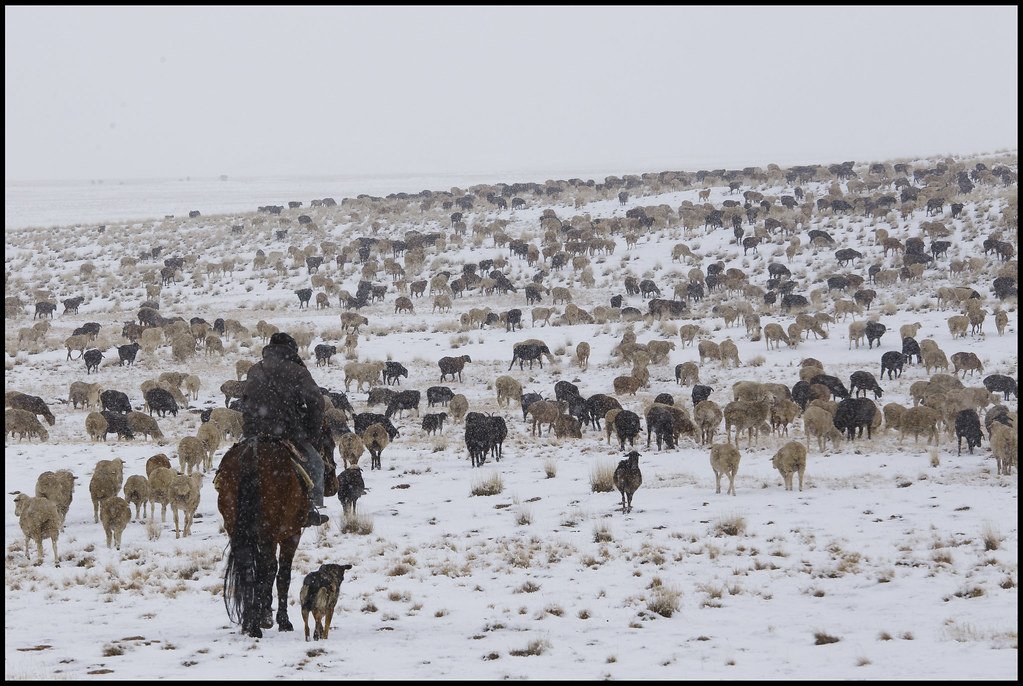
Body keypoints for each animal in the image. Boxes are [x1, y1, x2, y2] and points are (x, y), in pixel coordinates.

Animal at [217, 423, 337, 637]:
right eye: (330, 444)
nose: (334, 485)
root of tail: (252, 452)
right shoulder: (291, 535)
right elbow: (282, 574)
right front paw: (280, 619)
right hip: (269, 532)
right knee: (267, 567)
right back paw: (258, 624)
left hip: (236, 528)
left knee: (247, 567)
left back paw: (249, 622)